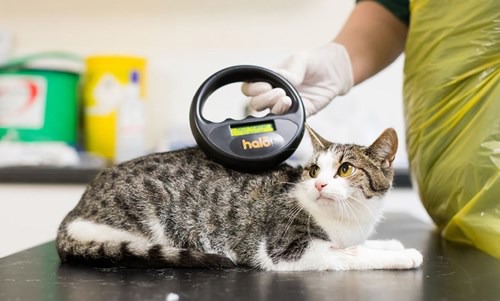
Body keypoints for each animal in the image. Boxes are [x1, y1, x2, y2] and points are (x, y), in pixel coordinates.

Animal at [55, 125, 422, 270]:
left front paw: (391, 244)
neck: (350, 218)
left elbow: (358, 244)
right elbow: (350, 254)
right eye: (314, 170)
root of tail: (74, 212)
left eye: (345, 169)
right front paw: (402, 256)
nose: (318, 185)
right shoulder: (289, 250)